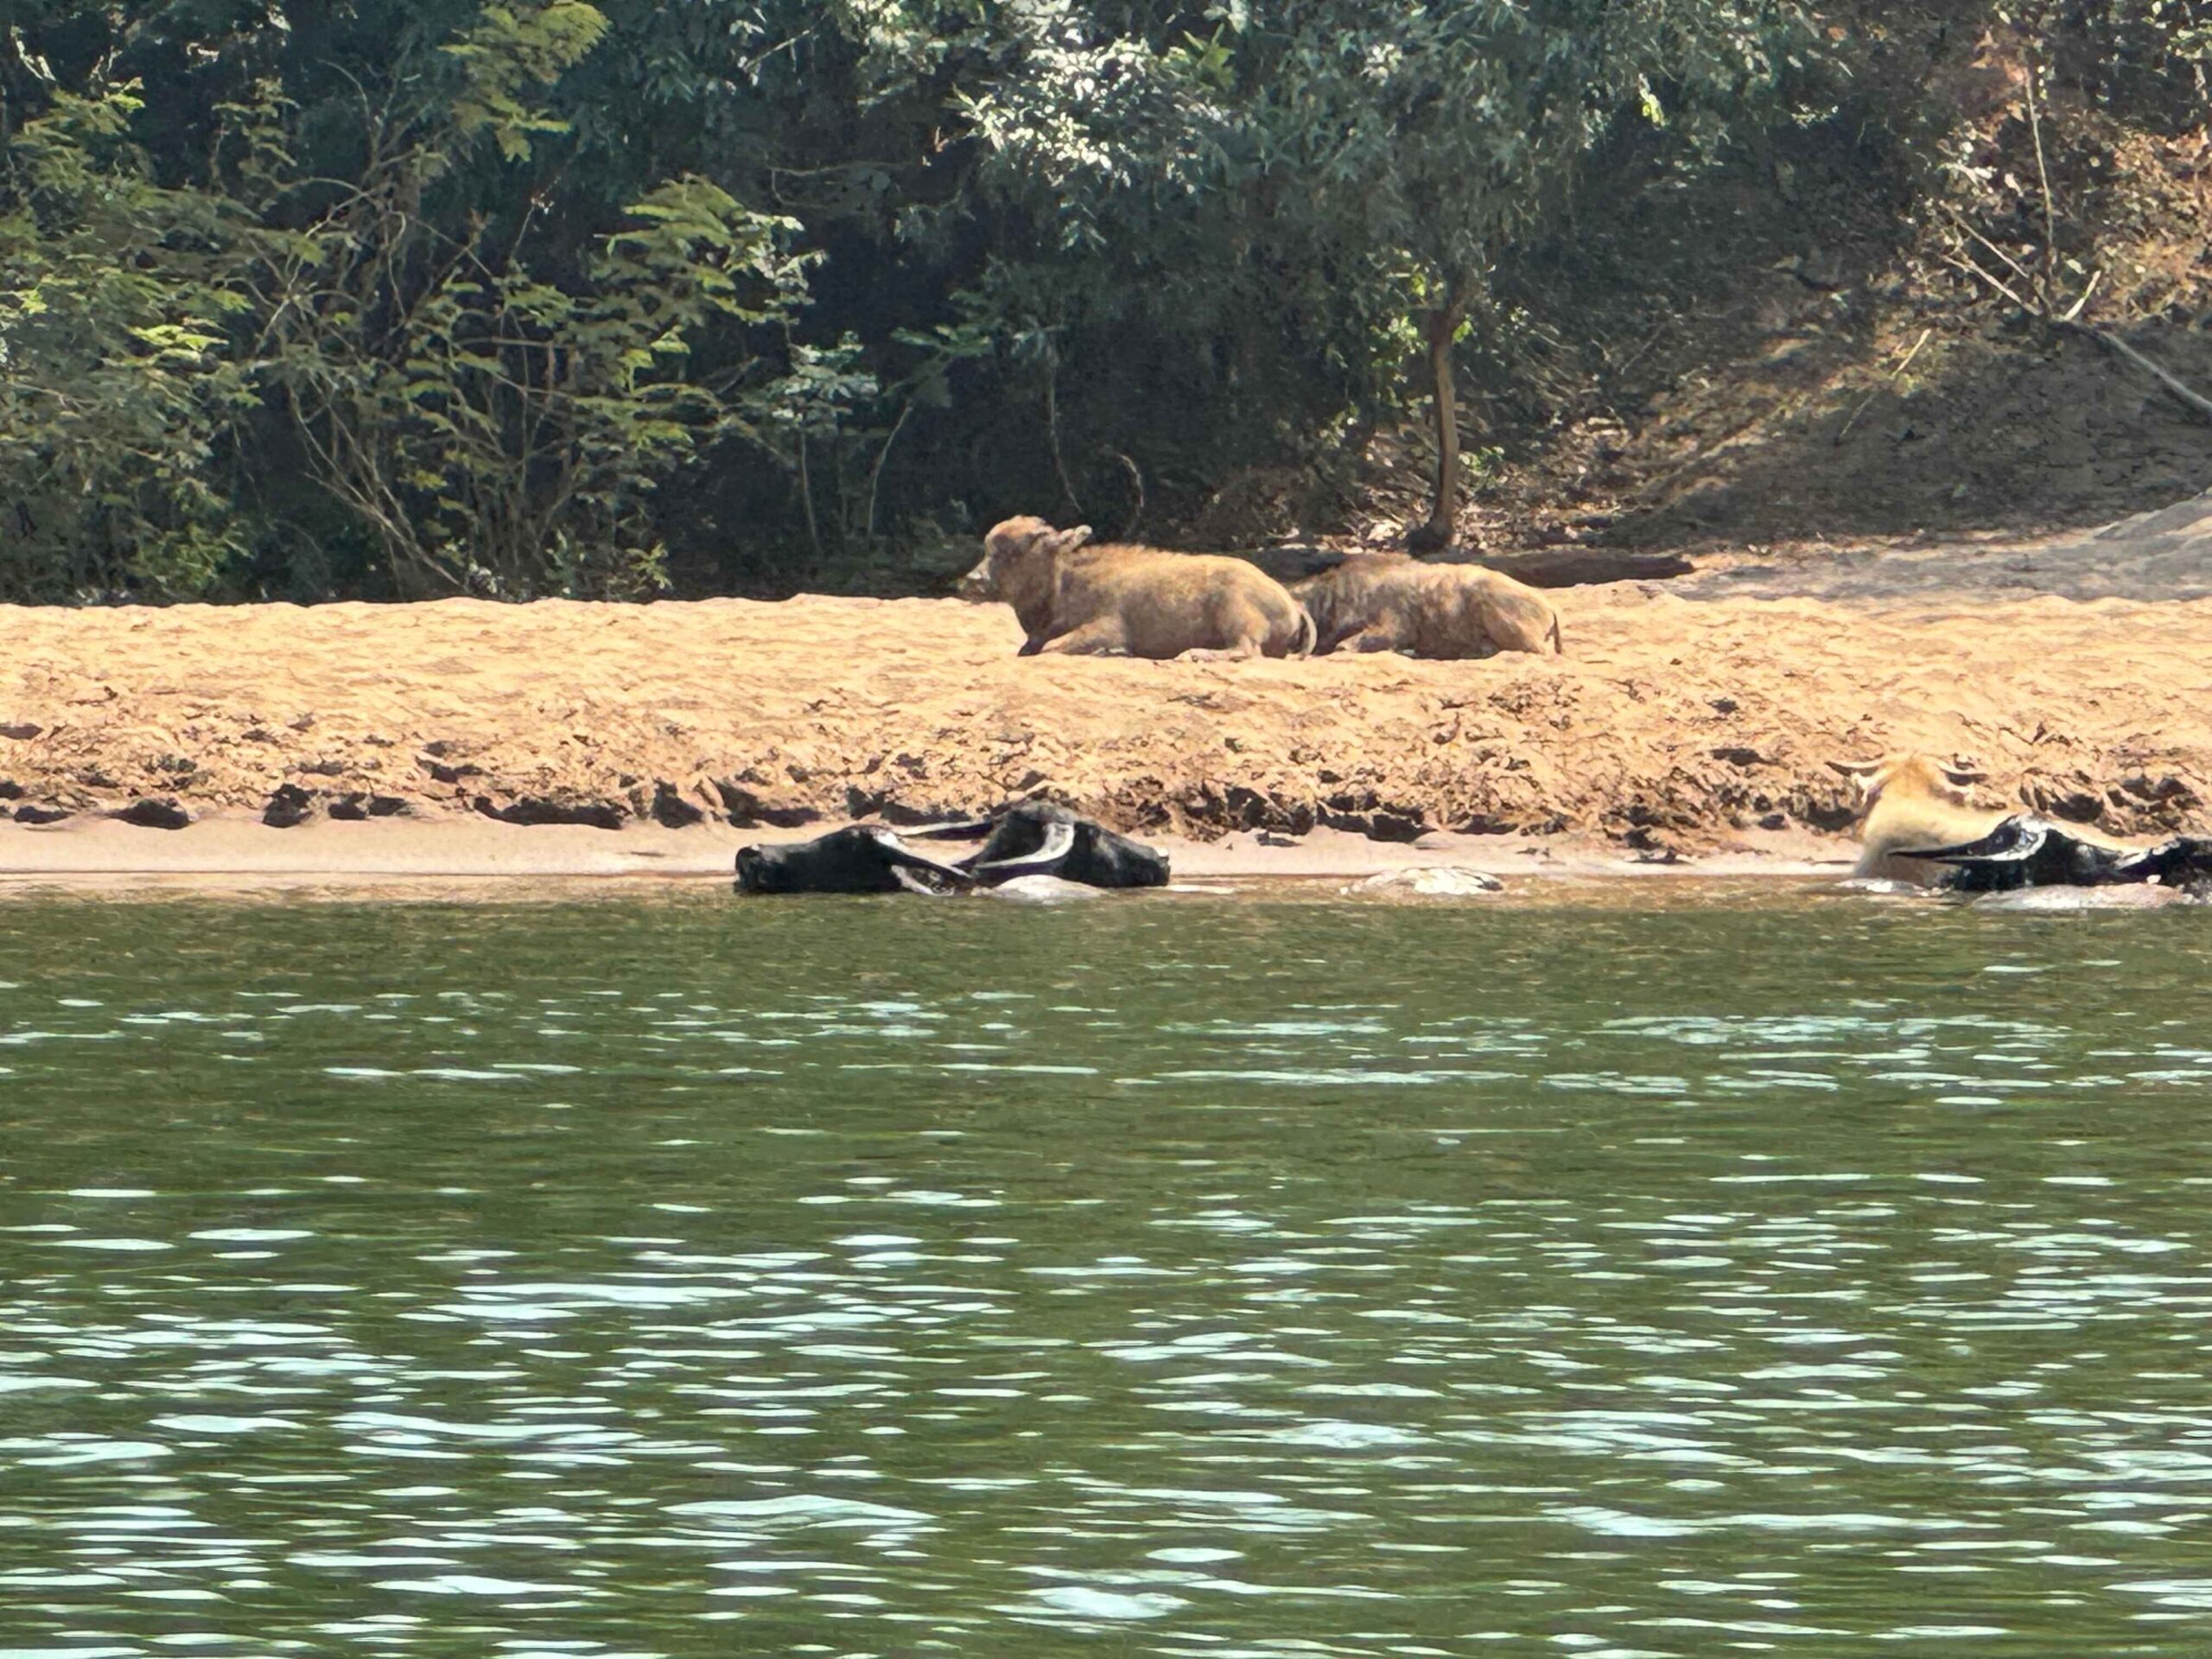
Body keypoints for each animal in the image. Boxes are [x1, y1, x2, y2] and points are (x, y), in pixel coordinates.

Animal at [964, 518, 1309, 658]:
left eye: (1013, 552)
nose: (974, 580)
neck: (1070, 580)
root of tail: (1292, 603)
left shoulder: (1107, 626)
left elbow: (1056, 646)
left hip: (1236, 615)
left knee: (1246, 649)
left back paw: (1194, 654)